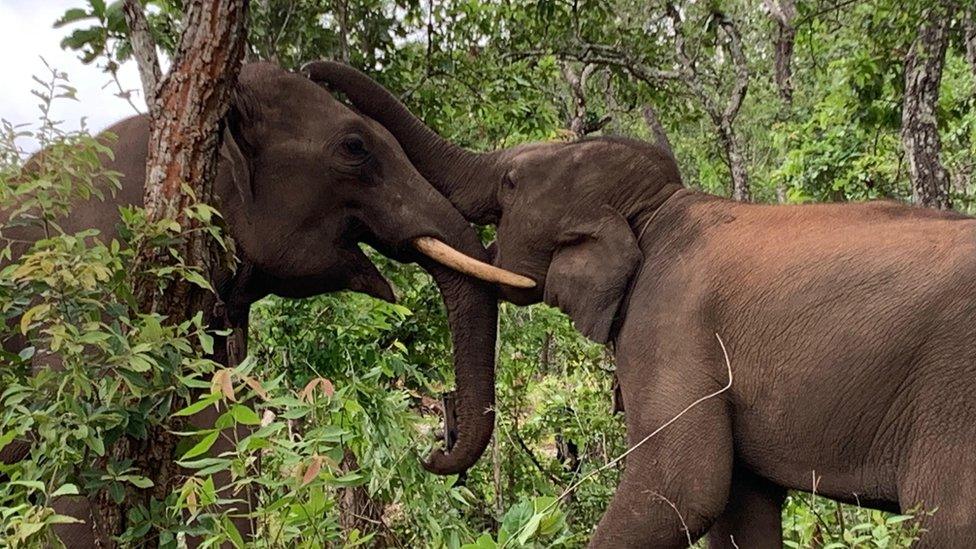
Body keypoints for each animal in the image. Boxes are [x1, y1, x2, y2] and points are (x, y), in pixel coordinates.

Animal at [308, 61, 976, 548]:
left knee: (946, 521)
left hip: (953, 401)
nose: (432, 450)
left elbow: (681, 486)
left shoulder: (670, 323)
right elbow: (740, 507)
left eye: (512, 184)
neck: (660, 209)